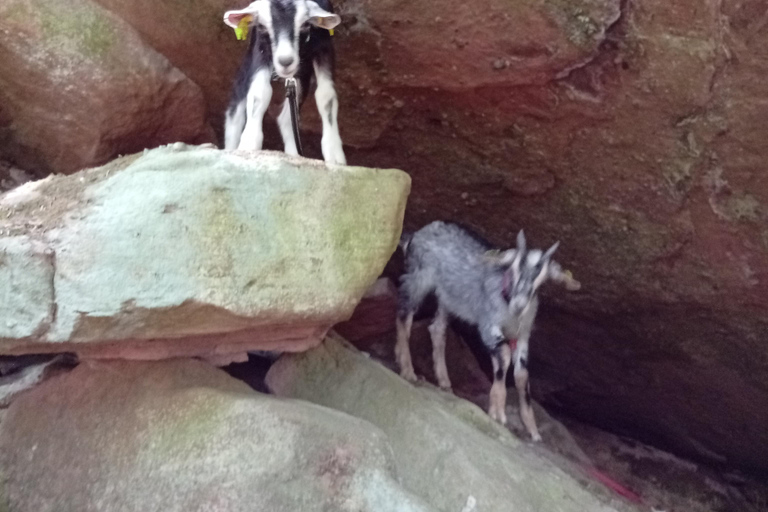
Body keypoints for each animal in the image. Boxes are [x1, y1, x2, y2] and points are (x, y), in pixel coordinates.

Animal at [223, 0, 346, 165]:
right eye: (262, 26)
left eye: (305, 25)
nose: (285, 61)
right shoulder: (261, 48)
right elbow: (259, 93)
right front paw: (249, 143)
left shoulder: (324, 47)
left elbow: (326, 96)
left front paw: (334, 153)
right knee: (236, 106)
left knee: (286, 117)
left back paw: (294, 156)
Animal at [395, 221, 581, 441]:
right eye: (513, 269)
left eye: (541, 279)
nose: (519, 304)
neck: (510, 310)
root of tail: (417, 233)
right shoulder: (488, 325)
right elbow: (503, 357)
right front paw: (498, 412)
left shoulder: (523, 336)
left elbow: (522, 375)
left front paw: (532, 429)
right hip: (418, 276)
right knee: (404, 315)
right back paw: (407, 369)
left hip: (447, 297)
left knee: (437, 329)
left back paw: (443, 380)